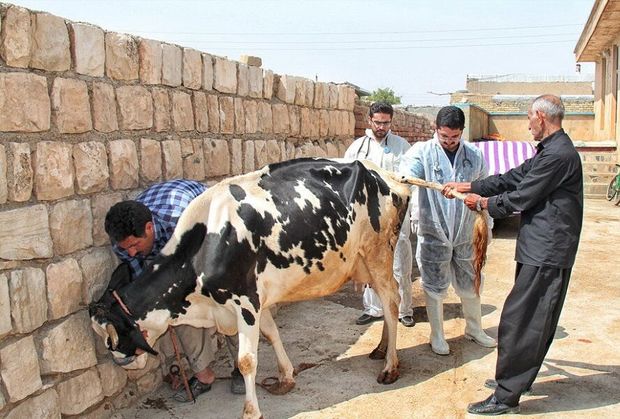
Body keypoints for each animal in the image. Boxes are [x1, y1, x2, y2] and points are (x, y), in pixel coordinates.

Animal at [91, 158, 412, 419]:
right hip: (364, 261)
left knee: (391, 300)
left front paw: (251, 410)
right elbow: (272, 334)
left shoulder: (245, 302)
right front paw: (285, 378)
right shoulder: (257, 299)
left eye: (110, 338)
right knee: (386, 303)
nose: (121, 362)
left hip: (378, 253)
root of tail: (387, 174)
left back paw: (389, 366)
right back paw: (381, 350)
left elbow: (246, 360)